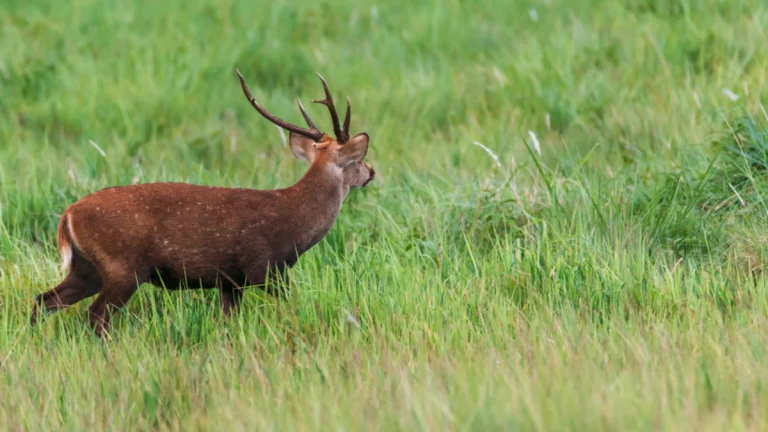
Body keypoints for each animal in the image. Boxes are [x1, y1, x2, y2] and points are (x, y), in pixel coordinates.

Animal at [29, 69, 375, 336]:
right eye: (358, 161)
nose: (371, 172)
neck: (296, 222)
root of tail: (68, 216)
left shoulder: (230, 281)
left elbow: (229, 322)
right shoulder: (265, 267)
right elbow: (292, 306)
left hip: (86, 267)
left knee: (44, 301)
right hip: (122, 266)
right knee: (95, 315)